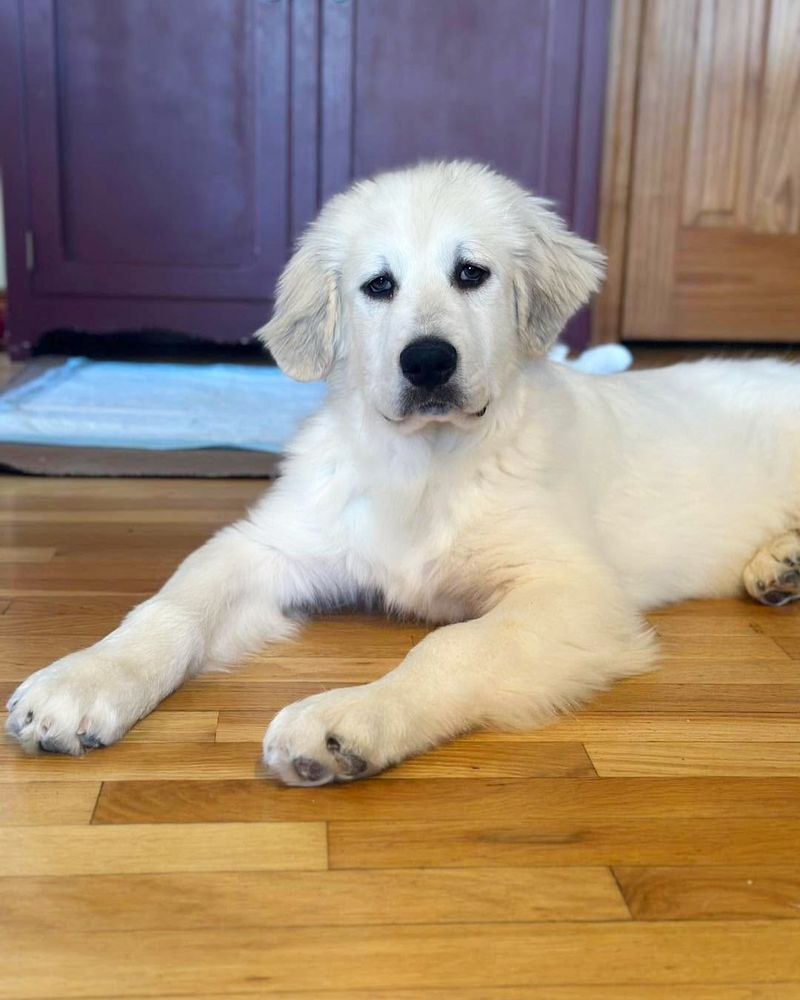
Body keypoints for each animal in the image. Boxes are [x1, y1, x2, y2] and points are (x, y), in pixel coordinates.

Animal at [6, 160, 800, 784]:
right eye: (378, 286)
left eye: (471, 274)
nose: (427, 362)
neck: (423, 462)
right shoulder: (272, 544)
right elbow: (171, 606)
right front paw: (83, 678)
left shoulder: (573, 592)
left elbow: (449, 647)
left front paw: (350, 718)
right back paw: (778, 566)